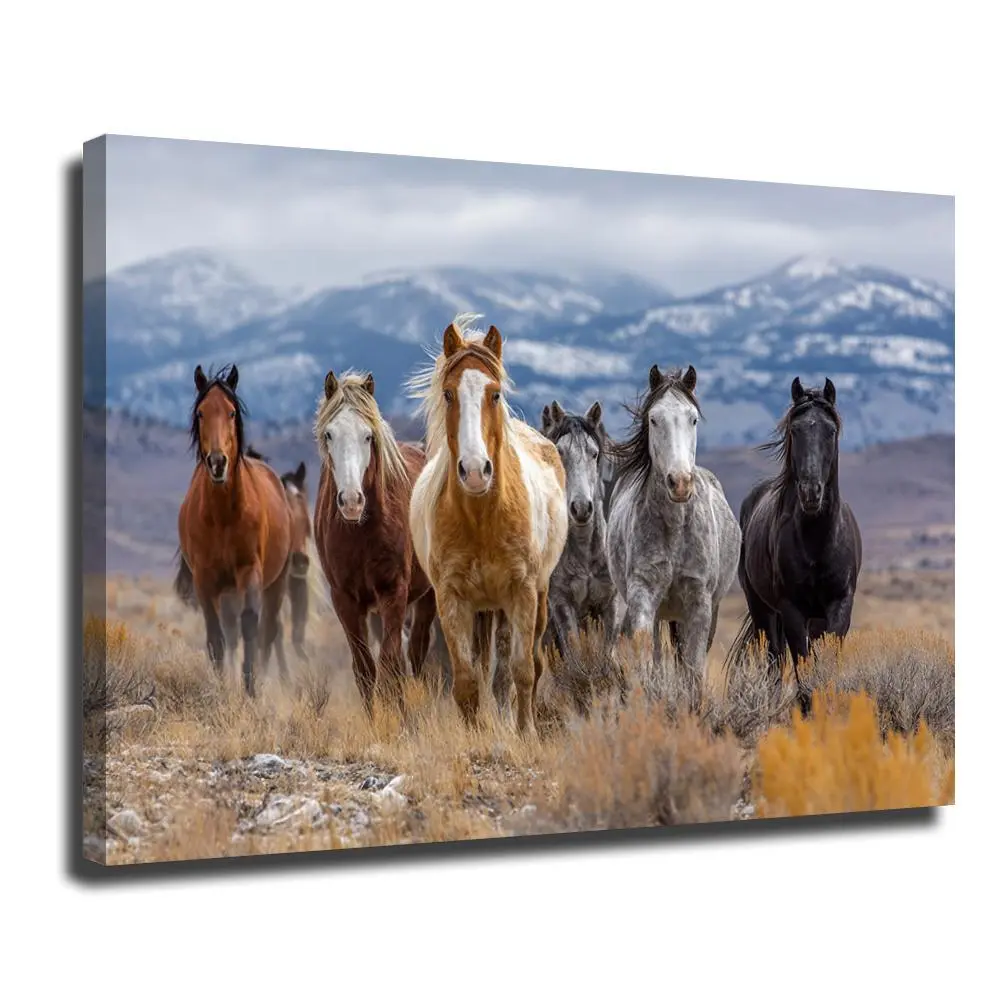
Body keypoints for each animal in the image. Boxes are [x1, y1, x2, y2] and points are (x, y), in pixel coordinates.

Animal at [175, 364, 293, 696]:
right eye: (201, 413)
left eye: (231, 412)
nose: (217, 462)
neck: (223, 517)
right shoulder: (205, 581)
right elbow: (215, 638)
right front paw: (221, 690)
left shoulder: (249, 572)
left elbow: (251, 626)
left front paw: (251, 690)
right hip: (226, 591)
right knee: (229, 632)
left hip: (275, 584)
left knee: (267, 631)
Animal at [313, 370, 438, 713]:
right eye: (329, 435)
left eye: (368, 436)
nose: (351, 502)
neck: (360, 532)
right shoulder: (345, 600)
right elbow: (365, 670)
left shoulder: (393, 593)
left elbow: (391, 667)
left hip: (427, 596)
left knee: (416, 656)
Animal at [408, 315, 568, 735]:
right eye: (449, 395)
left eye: (494, 395)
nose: (476, 471)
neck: (483, 519)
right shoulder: (452, 599)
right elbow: (466, 680)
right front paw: (476, 734)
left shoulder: (523, 593)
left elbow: (522, 669)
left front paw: (525, 732)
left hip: (534, 598)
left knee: (526, 664)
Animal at [607, 364, 741, 704]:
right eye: (654, 419)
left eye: (692, 418)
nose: (679, 483)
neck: (675, 530)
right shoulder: (643, 596)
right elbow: (645, 659)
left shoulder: (699, 603)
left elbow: (692, 670)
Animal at [725, 377, 862, 713]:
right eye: (795, 430)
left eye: (830, 430)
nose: (811, 492)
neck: (817, 542)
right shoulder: (792, 610)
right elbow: (802, 673)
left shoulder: (840, 606)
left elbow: (826, 668)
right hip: (762, 609)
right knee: (775, 660)